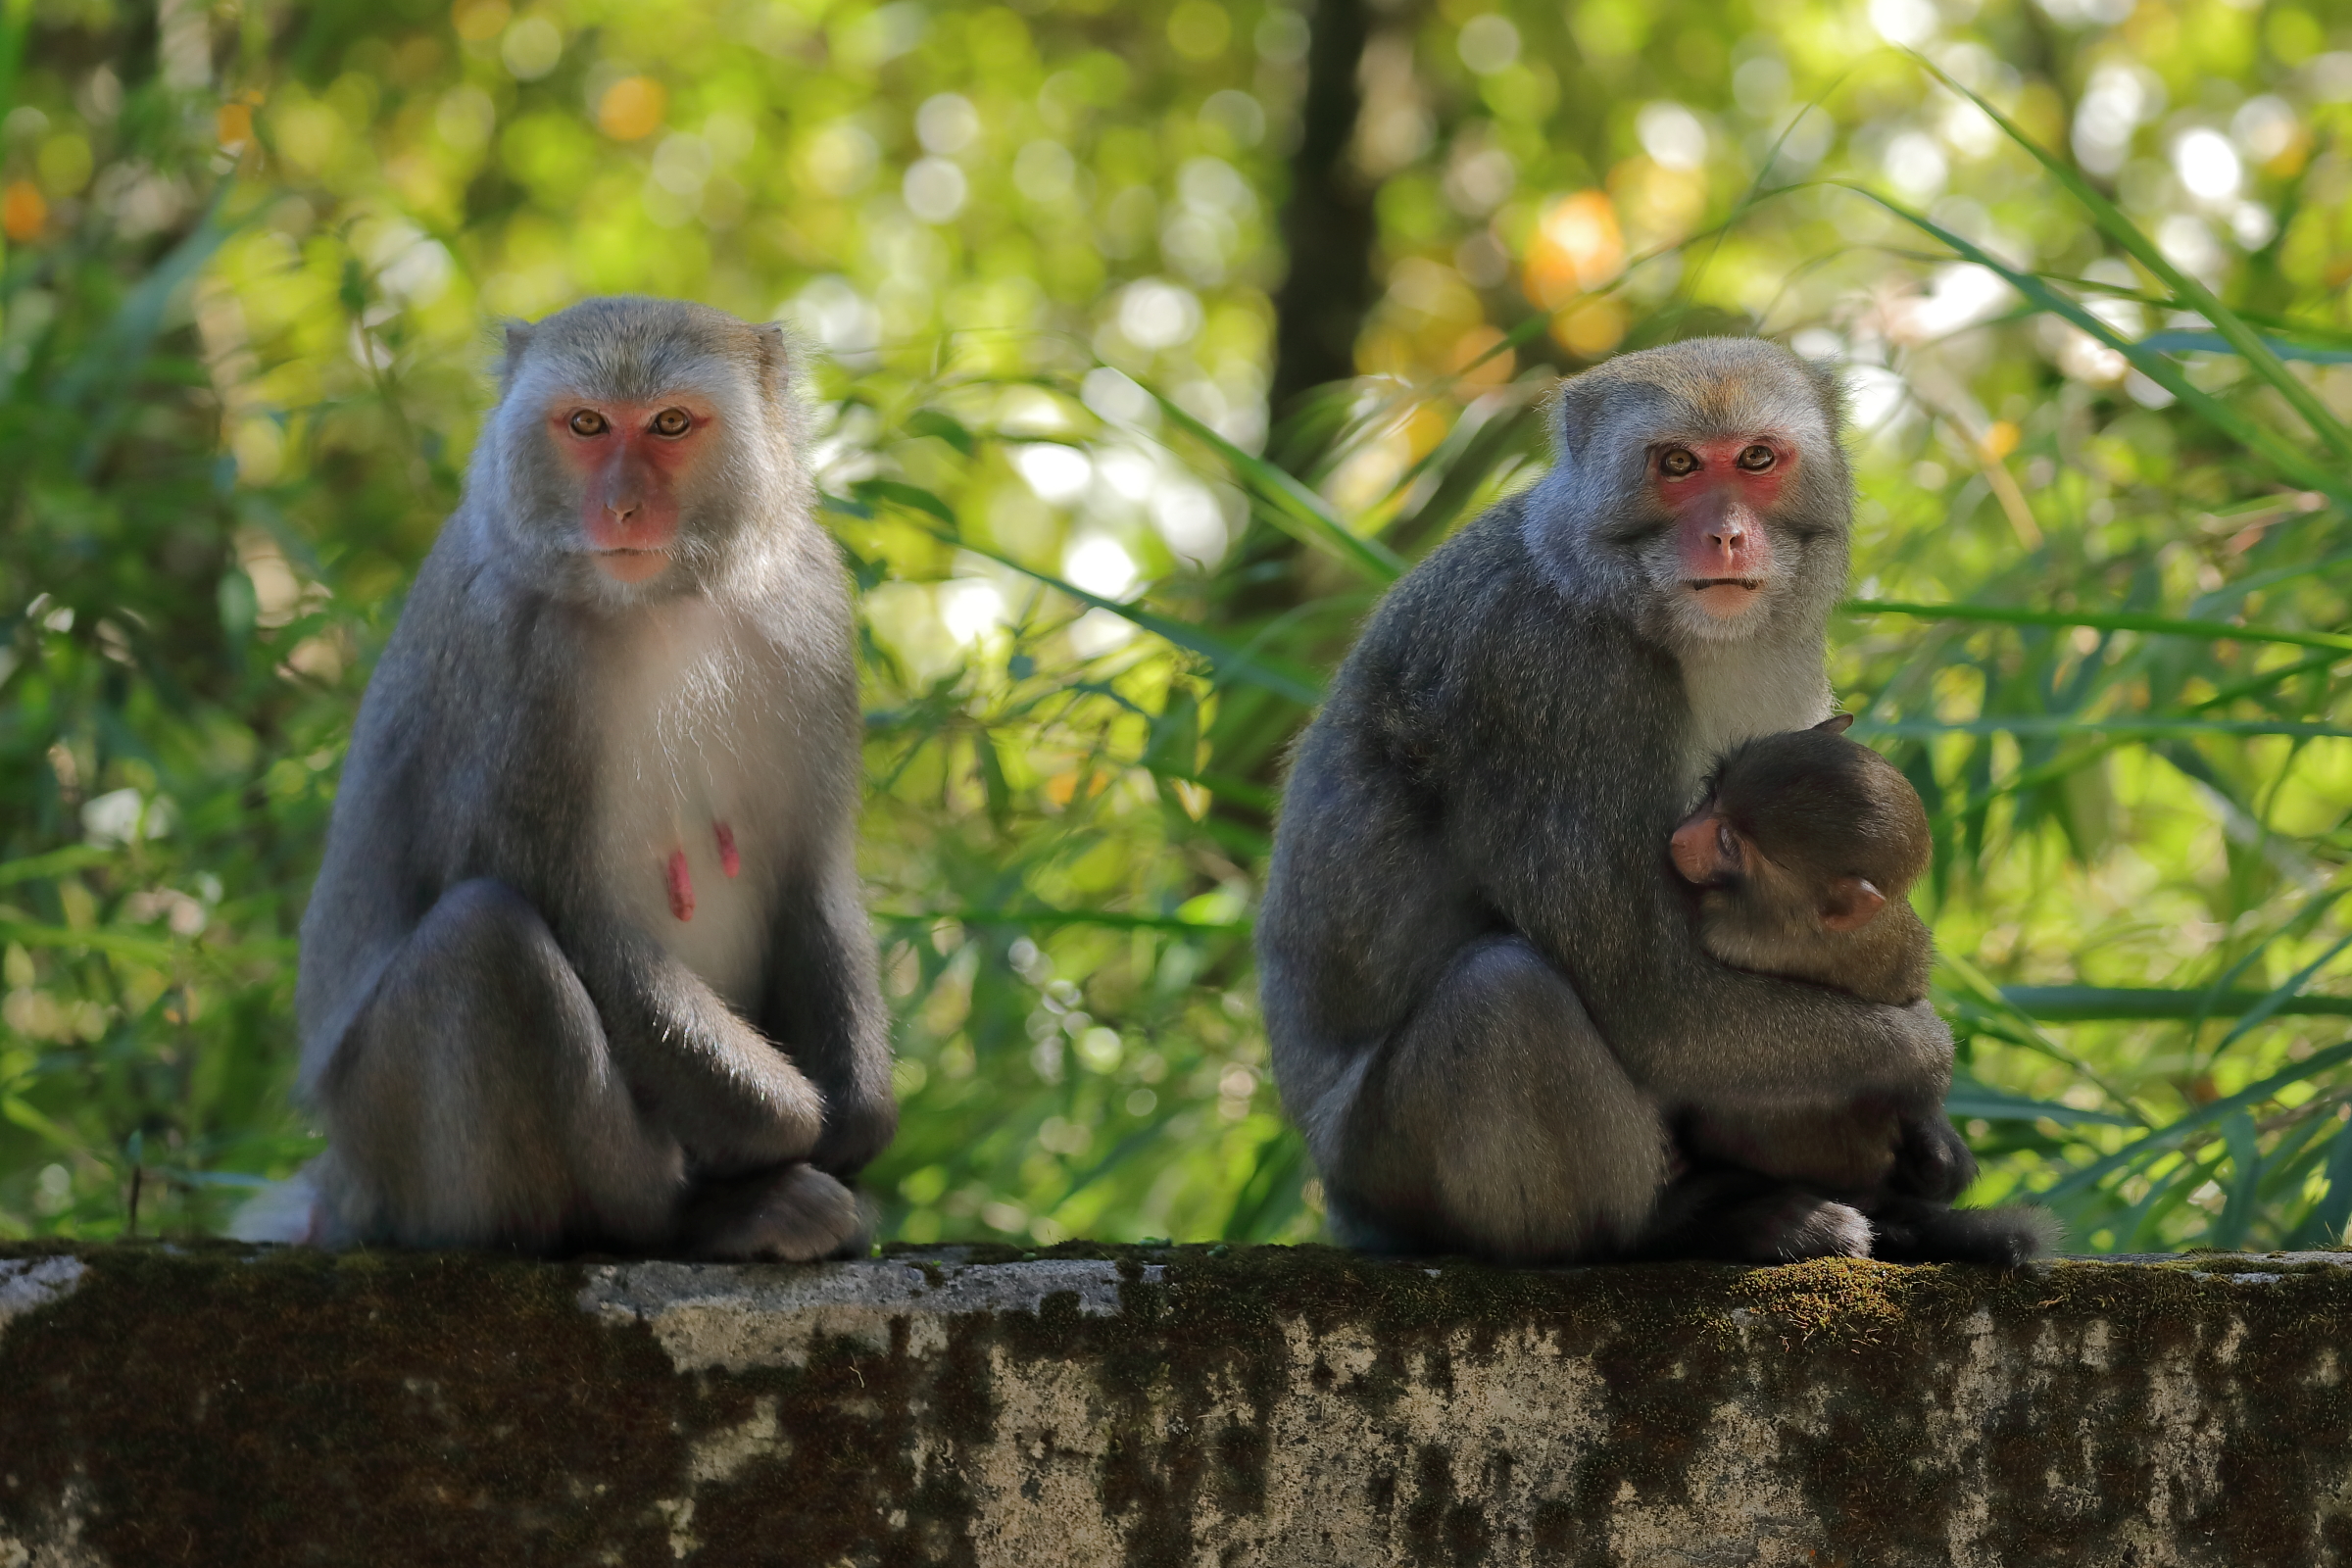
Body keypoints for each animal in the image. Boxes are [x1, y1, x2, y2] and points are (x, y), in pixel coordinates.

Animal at [270, 297, 894, 1259]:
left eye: (669, 423)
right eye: (588, 424)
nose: (623, 507)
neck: (663, 606)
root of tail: (346, 1187)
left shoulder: (812, 614)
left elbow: (810, 872)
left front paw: (860, 1114)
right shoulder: (522, 666)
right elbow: (571, 910)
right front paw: (783, 1123)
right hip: (397, 1156)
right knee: (486, 940)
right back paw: (695, 1219)